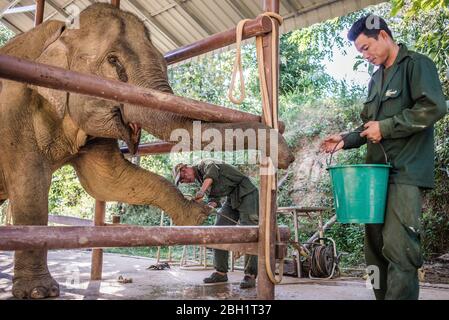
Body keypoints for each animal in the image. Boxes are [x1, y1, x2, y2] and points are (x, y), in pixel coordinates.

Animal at [0, 2, 294, 298]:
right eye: (113, 61)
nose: (287, 158)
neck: (61, 32)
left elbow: (108, 180)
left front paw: (195, 214)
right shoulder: (14, 112)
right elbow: (31, 185)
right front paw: (41, 291)